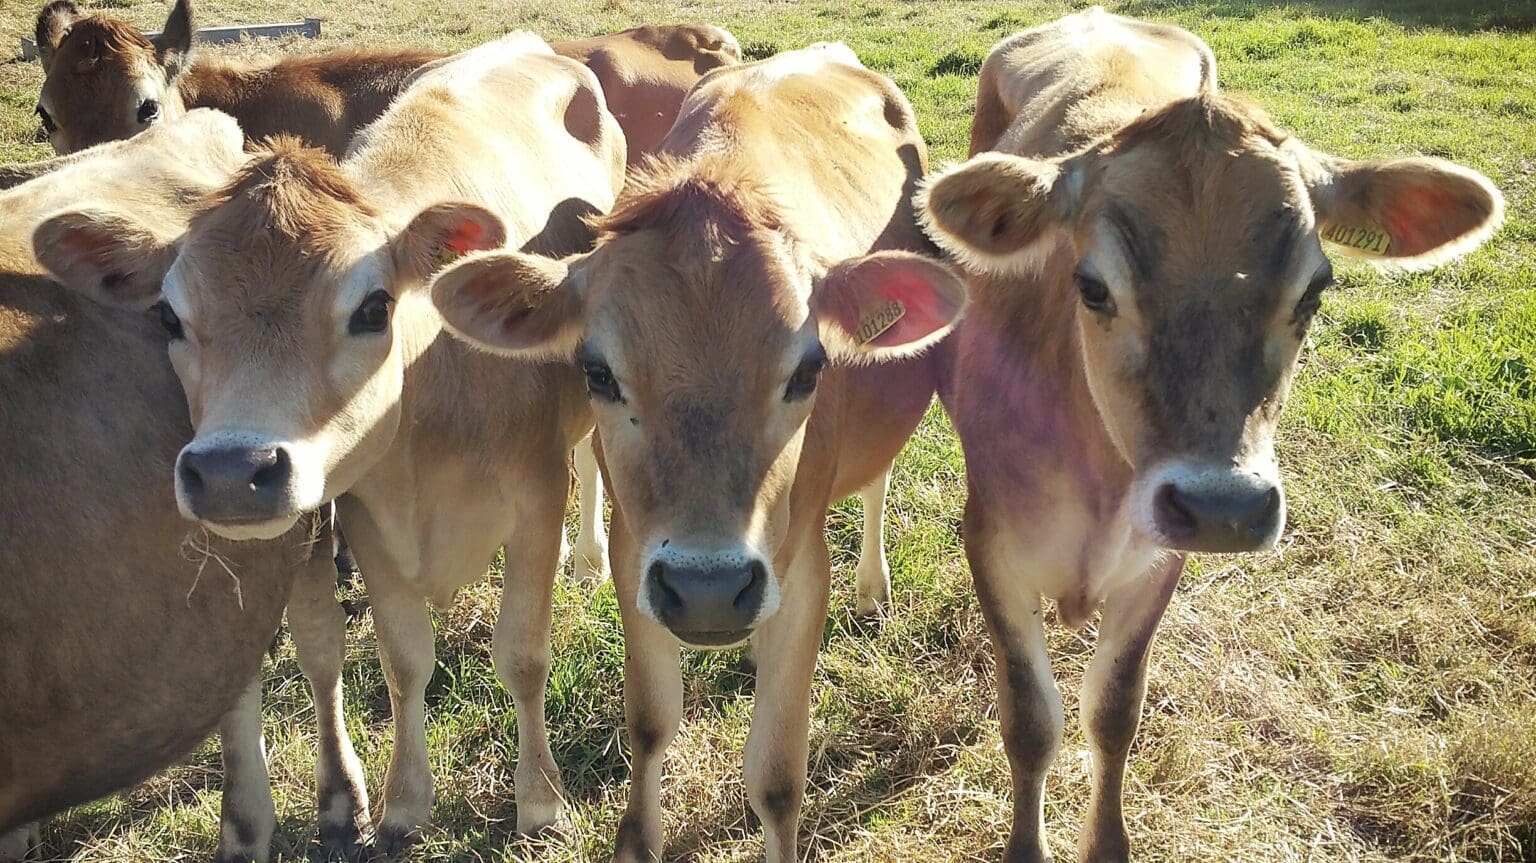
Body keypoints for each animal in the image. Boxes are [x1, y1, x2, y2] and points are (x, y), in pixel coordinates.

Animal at [37, 32, 627, 855]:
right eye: (168, 317)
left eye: (373, 306)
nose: (231, 472)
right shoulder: (367, 516)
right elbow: (405, 659)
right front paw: (404, 805)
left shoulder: (536, 498)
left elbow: (522, 652)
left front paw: (540, 804)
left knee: (591, 457)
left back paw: (591, 559)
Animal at [426, 43, 967, 862]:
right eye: (598, 372)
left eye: (808, 370)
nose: (710, 589)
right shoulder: (635, 555)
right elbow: (651, 720)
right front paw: (638, 837)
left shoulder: (802, 563)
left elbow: (776, 775)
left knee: (875, 482)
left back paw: (873, 587)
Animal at [915, 9, 1505, 861]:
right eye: (1091, 286)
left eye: (1315, 290)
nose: (1223, 507)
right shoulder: (989, 538)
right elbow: (1029, 717)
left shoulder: (1159, 557)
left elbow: (1113, 711)